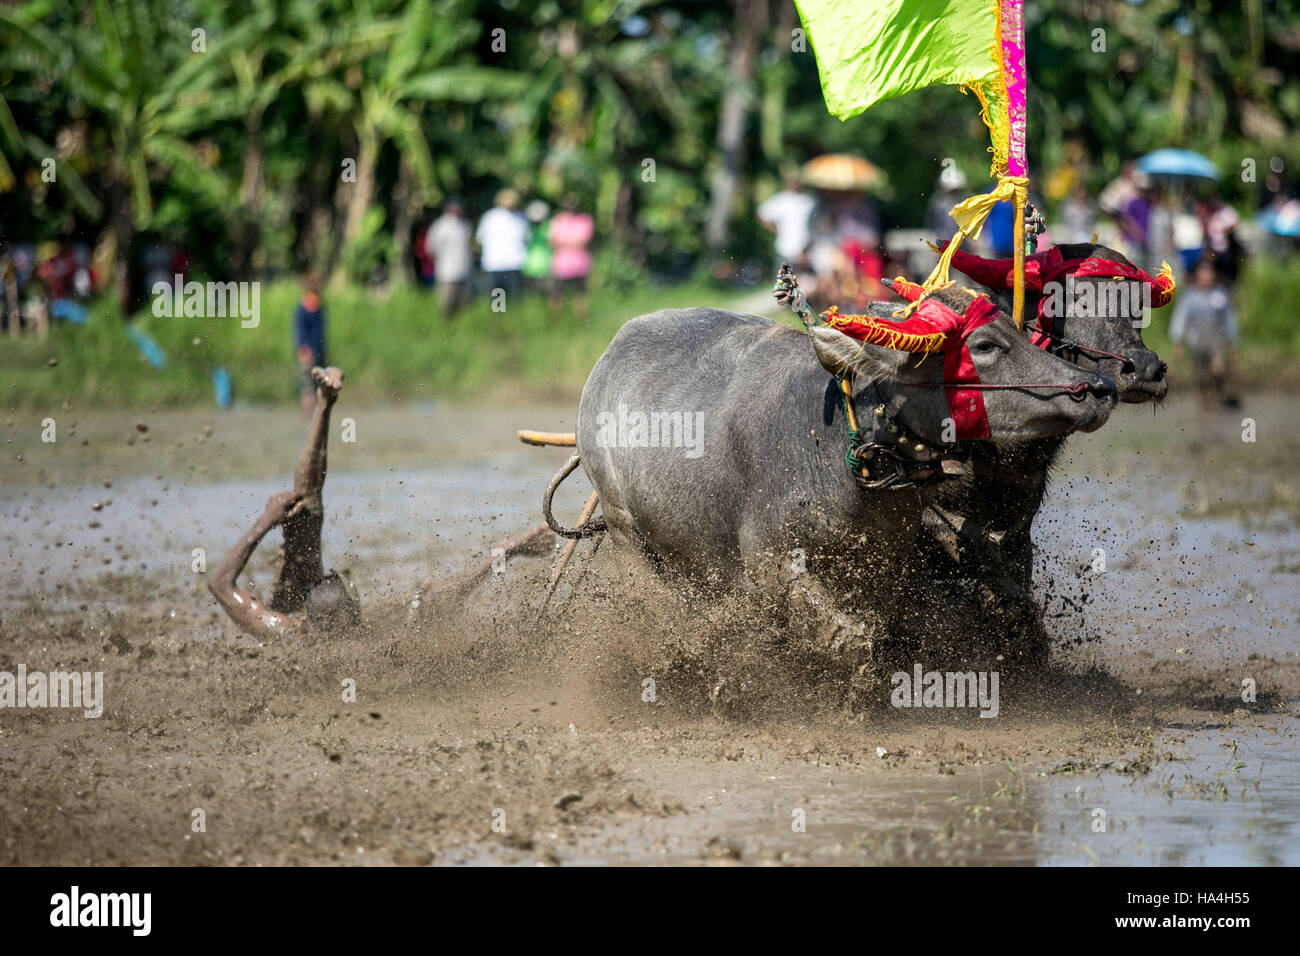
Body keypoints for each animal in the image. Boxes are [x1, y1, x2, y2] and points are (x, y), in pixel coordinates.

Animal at [579, 283, 1118, 658]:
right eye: (984, 345)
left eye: (1014, 329)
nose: (1099, 386)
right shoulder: (772, 563)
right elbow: (852, 639)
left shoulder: (889, 561)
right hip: (626, 531)